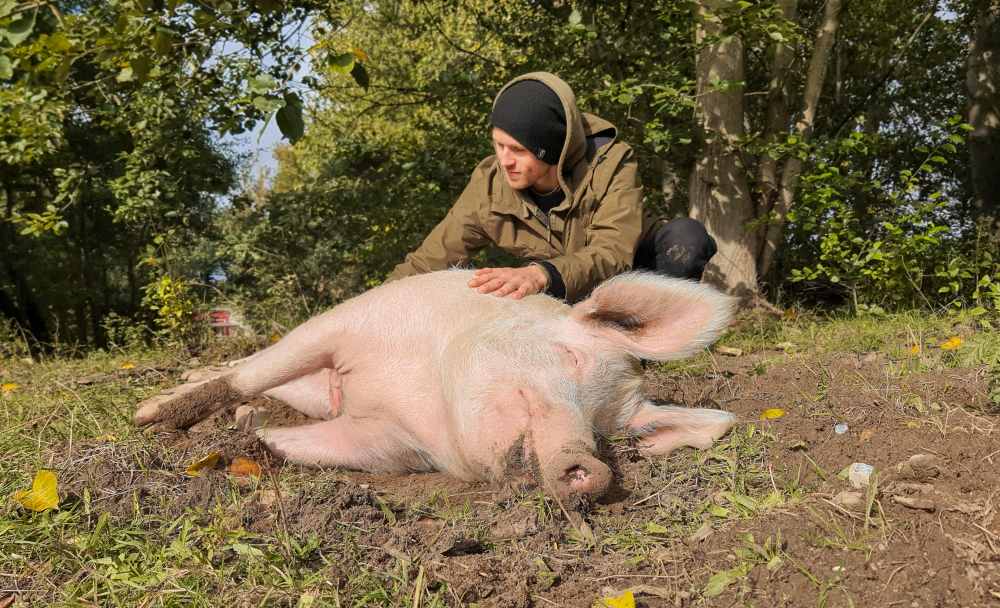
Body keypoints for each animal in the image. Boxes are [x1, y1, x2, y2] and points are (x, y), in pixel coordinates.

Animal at [135, 270, 736, 498]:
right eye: (569, 357)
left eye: (608, 429)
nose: (590, 466)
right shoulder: (345, 323)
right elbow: (247, 374)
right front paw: (149, 422)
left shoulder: (388, 445)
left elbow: (284, 447)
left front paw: (240, 441)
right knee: (245, 367)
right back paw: (164, 397)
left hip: (311, 395)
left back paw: (241, 414)